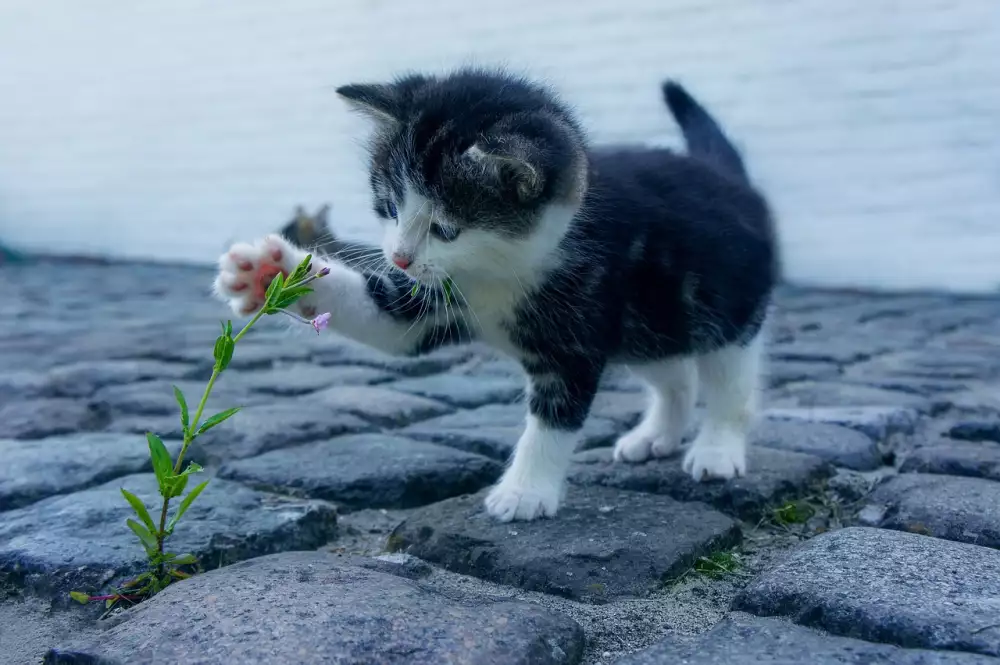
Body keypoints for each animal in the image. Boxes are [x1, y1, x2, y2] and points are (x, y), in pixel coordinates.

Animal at [215, 68, 776, 524]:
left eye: (445, 228)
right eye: (389, 206)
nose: (398, 257)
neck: (498, 270)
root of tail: (729, 178)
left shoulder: (578, 328)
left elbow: (554, 417)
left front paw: (525, 492)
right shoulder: (433, 300)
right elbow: (387, 319)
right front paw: (270, 273)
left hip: (725, 308)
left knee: (729, 382)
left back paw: (717, 448)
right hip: (650, 323)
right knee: (674, 373)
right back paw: (656, 435)